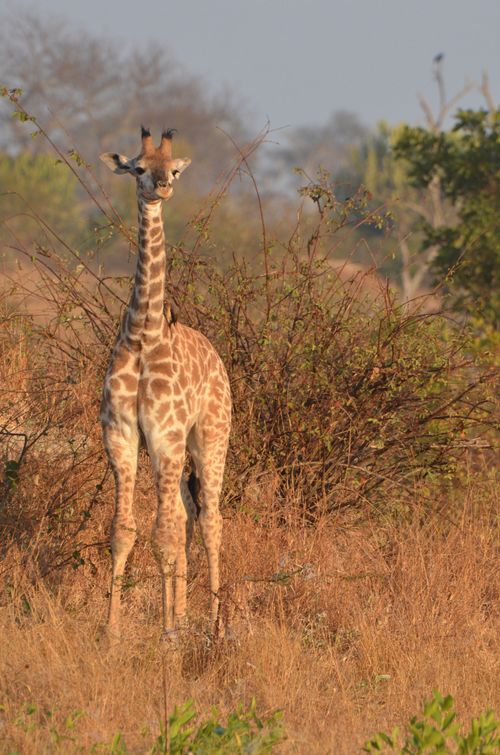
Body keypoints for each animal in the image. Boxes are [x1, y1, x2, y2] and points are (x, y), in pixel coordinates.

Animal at [99, 127, 231, 641]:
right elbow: (125, 532)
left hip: (211, 438)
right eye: (138, 167)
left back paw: (214, 624)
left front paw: (167, 634)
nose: (162, 187)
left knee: (210, 519)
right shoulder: (120, 435)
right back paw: (186, 616)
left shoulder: (166, 436)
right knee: (184, 515)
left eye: (173, 169)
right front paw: (112, 631)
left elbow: (163, 535)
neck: (142, 332)